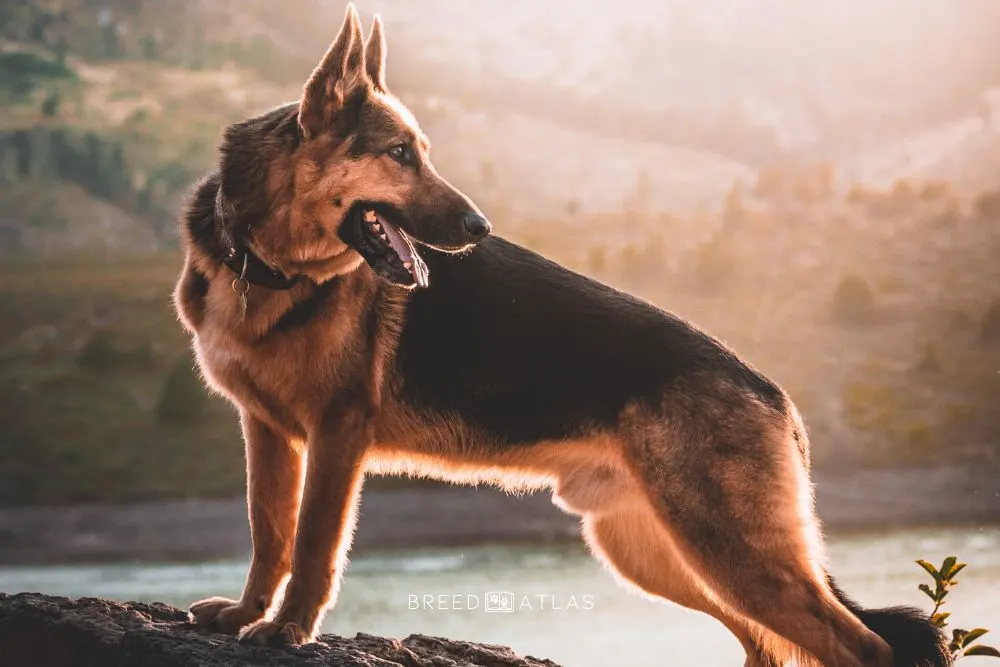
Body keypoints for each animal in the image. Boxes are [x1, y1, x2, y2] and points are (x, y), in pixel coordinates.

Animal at [176, 6, 948, 667]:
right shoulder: (268, 432)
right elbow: (268, 533)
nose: (480, 227)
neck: (267, 266)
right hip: (657, 552)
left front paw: (289, 629)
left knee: (863, 645)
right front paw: (247, 614)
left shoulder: (337, 437)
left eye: (419, 153)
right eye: (399, 154)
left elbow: (311, 546)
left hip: (729, 553)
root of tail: (775, 395)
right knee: (768, 642)